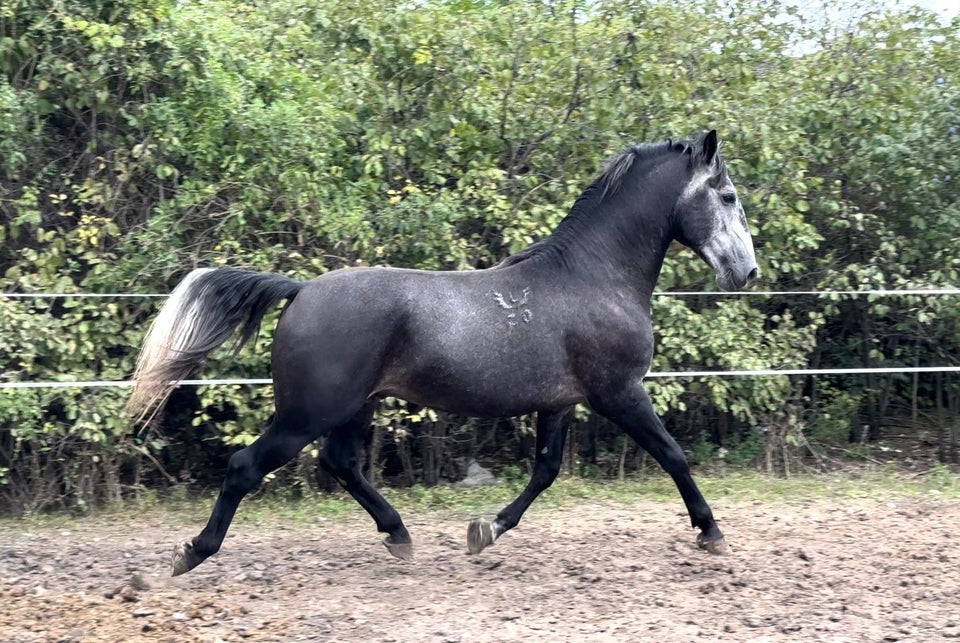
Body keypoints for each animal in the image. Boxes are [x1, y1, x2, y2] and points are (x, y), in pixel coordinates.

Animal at [127, 128, 756, 576]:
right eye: (726, 196)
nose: (745, 272)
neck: (591, 277)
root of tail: (300, 289)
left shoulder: (560, 402)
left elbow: (545, 471)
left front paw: (484, 533)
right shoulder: (619, 393)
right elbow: (674, 456)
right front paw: (711, 533)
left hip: (354, 407)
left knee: (341, 463)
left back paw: (400, 537)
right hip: (310, 412)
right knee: (246, 467)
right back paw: (189, 554)